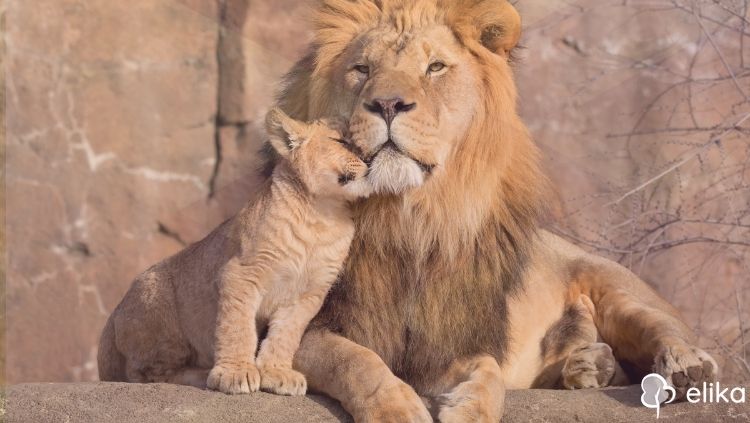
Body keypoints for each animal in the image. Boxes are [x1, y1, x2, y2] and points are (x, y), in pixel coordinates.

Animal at [274, 0, 716, 423]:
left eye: (435, 67)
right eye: (362, 69)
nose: (387, 103)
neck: (408, 219)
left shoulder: (449, 339)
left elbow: (488, 370)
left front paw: (472, 409)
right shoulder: (308, 326)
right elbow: (355, 360)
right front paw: (397, 409)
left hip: (615, 288)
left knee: (663, 328)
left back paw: (684, 367)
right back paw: (589, 366)